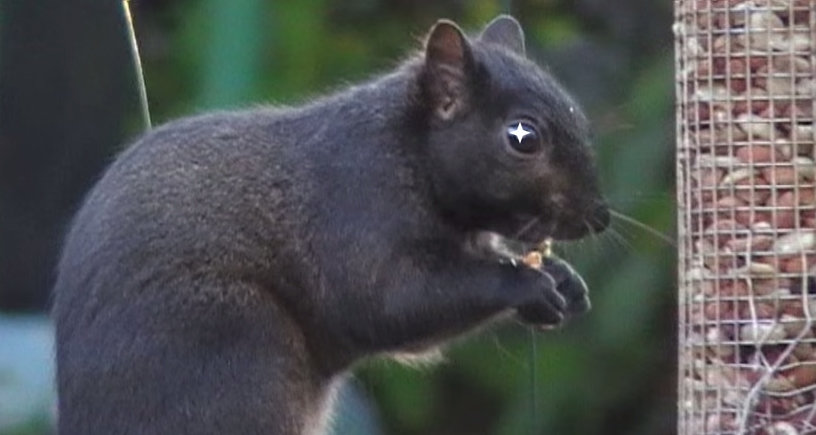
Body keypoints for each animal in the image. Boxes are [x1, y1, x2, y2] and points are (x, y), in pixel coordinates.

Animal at [51, 15, 608, 435]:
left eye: (578, 114)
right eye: (522, 137)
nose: (600, 218)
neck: (411, 153)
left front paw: (563, 281)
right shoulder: (354, 212)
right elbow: (393, 301)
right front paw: (526, 285)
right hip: (236, 351)